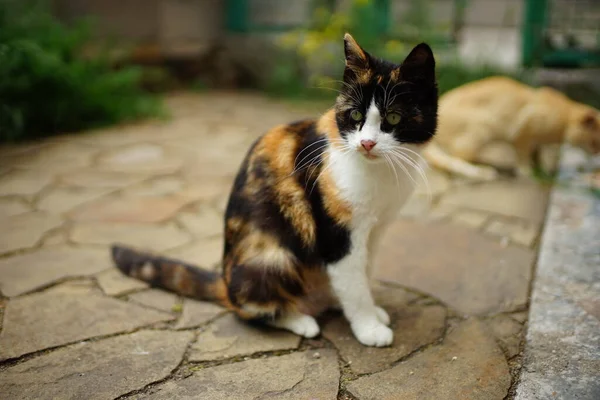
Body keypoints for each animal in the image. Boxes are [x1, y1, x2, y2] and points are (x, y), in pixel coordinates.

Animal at [111, 34, 436, 346]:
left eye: (393, 118)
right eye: (355, 115)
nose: (367, 143)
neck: (381, 171)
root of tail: (226, 282)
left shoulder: (376, 228)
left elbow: (364, 270)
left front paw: (372, 312)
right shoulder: (337, 232)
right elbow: (353, 281)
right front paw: (369, 328)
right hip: (273, 257)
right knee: (251, 310)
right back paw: (299, 319)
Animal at [422, 76, 600, 180]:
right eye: (595, 142)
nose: (597, 153)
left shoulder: (536, 142)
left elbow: (538, 154)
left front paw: (542, 170)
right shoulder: (522, 131)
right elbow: (524, 156)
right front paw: (527, 172)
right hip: (482, 126)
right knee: (457, 158)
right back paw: (484, 170)